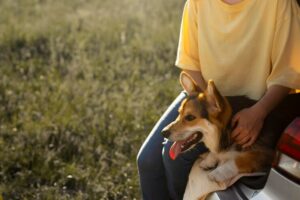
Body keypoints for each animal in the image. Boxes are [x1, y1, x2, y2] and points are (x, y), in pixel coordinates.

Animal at [162, 72, 274, 200]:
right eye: (179, 113)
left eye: (190, 117)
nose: (163, 132)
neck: (229, 128)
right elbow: (215, 152)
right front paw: (209, 161)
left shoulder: (265, 153)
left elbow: (238, 160)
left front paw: (217, 173)